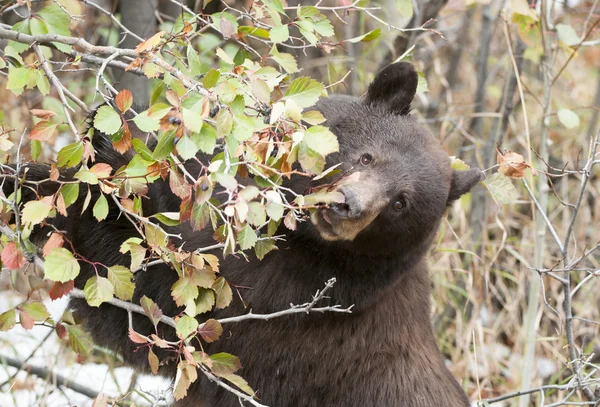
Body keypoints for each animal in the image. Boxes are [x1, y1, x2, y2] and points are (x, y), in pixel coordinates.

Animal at [3, 62, 478, 406]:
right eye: (367, 156)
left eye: (401, 203)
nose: (348, 206)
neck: (307, 243)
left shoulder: (279, 298)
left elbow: (148, 300)